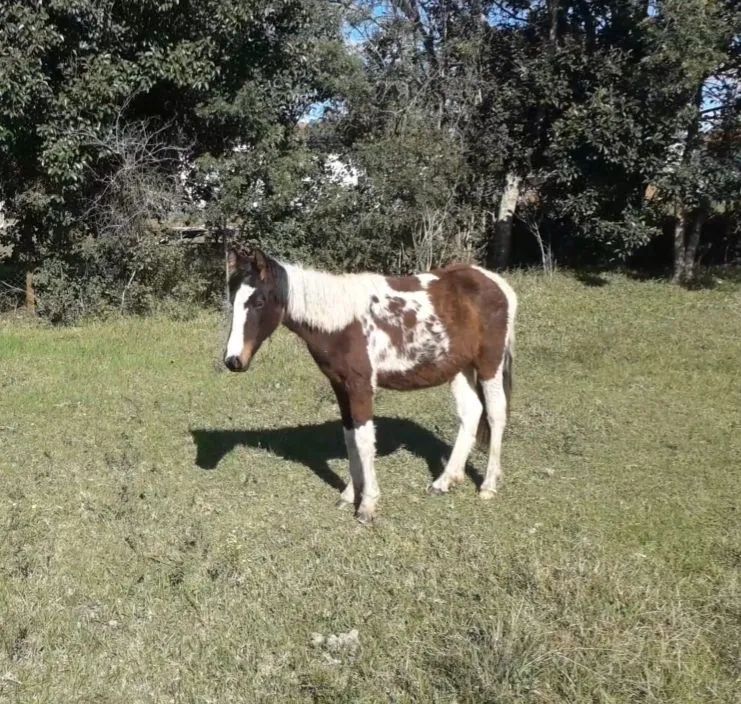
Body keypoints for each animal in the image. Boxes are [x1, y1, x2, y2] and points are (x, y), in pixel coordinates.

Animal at [223, 246, 518, 524]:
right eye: (233, 300)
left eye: (259, 301)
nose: (233, 360)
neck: (341, 323)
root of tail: (495, 283)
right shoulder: (340, 386)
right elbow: (350, 437)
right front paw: (349, 494)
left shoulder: (360, 385)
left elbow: (364, 440)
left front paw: (367, 505)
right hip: (459, 368)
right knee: (470, 412)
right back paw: (445, 481)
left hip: (489, 364)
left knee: (495, 414)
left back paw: (488, 485)